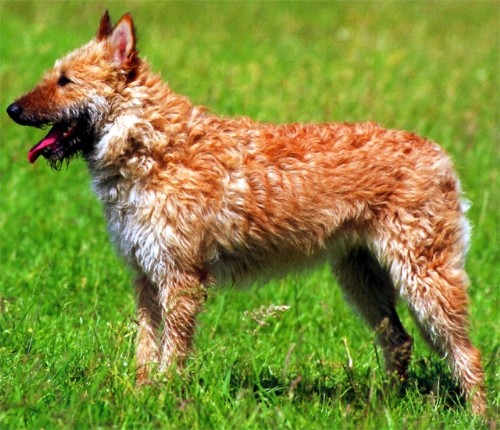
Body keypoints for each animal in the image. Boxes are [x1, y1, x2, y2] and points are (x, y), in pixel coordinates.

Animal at [6, 10, 484, 414]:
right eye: (54, 75)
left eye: (65, 80)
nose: (11, 109)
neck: (150, 145)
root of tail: (441, 156)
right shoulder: (145, 275)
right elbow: (145, 347)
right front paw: (141, 396)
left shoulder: (179, 277)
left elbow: (171, 352)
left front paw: (161, 401)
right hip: (362, 277)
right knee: (399, 342)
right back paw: (383, 407)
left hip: (424, 280)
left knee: (467, 354)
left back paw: (478, 415)